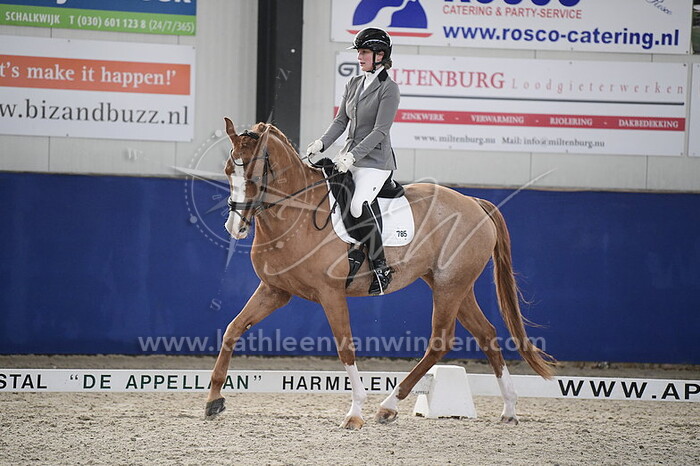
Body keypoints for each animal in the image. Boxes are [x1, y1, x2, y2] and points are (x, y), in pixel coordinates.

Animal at [205, 118, 555, 429]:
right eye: (228, 171)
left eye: (253, 174)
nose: (235, 227)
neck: (296, 214)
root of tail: (473, 202)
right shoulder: (275, 290)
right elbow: (232, 329)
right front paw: (213, 399)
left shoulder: (331, 294)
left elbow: (345, 348)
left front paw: (355, 412)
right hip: (454, 285)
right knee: (486, 334)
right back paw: (509, 409)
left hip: (449, 286)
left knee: (441, 340)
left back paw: (388, 405)